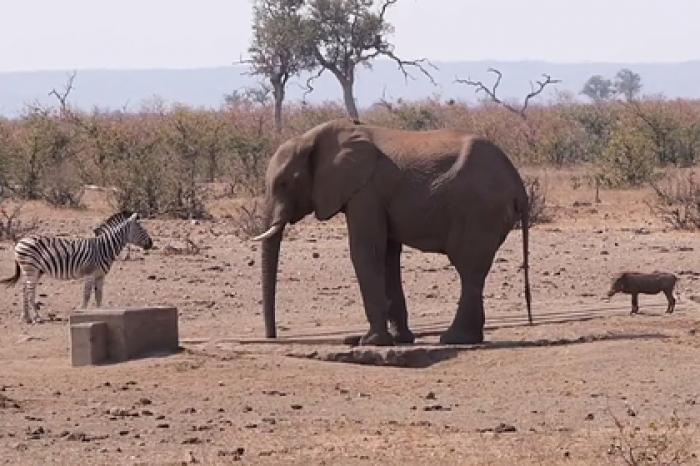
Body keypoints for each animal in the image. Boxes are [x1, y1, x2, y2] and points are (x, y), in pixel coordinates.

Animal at [0, 212, 153, 324]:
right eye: (141, 229)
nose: (151, 243)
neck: (104, 248)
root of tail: (21, 241)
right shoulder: (90, 273)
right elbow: (87, 295)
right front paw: (83, 312)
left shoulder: (100, 275)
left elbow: (99, 296)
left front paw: (101, 312)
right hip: (30, 268)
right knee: (30, 291)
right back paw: (36, 317)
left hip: (34, 270)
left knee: (24, 289)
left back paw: (26, 317)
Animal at [254, 118, 532, 344]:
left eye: (284, 183)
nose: (272, 336)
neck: (313, 137)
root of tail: (518, 185)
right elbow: (387, 256)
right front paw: (400, 340)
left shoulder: (365, 192)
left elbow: (366, 251)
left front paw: (371, 342)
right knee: (473, 272)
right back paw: (467, 338)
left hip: (478, 212)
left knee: (468, 269)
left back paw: (454, 339)